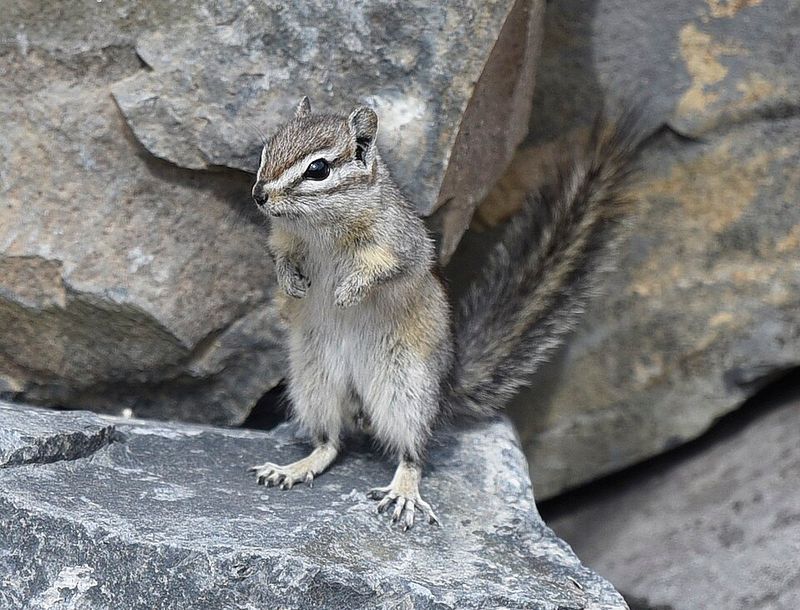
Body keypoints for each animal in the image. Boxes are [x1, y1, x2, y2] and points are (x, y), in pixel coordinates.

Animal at [249, 96, 639, 529]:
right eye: (266, 150)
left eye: (318, 169)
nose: (259, 195)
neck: (318, 227)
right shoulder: (283, 240)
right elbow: (280, 258)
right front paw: (291, 283)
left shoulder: (402, 243)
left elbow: (386, 269)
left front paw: (349, 292)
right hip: (314, 381)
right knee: (331, 442)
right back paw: (296, 467)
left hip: (406, 388)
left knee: (413, 451)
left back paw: (403, 491)